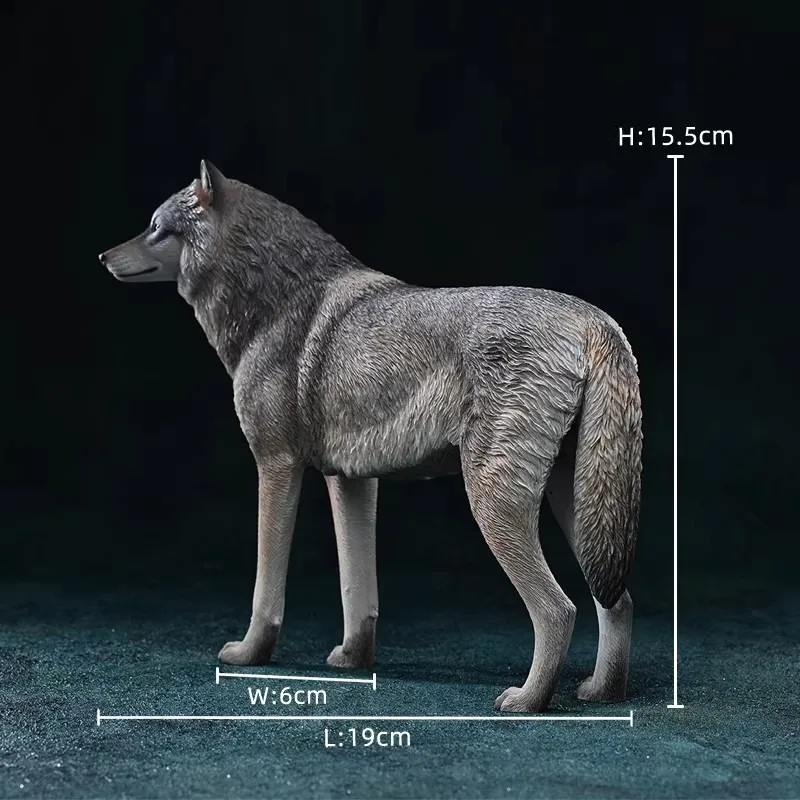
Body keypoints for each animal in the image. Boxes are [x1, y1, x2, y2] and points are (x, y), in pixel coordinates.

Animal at [99, 161, 642, 713]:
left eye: (156, 227)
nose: (103, 256)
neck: (280, 303)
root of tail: (597, 321)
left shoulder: (276, 466)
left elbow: (265, 586)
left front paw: (250, 654)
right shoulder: (350, 481)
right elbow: (357, 591)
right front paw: (353, 659)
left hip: (495, 502)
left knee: (559, 609)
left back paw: (527, 700)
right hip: (578, 507)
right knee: (616, 600)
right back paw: (603, 692)